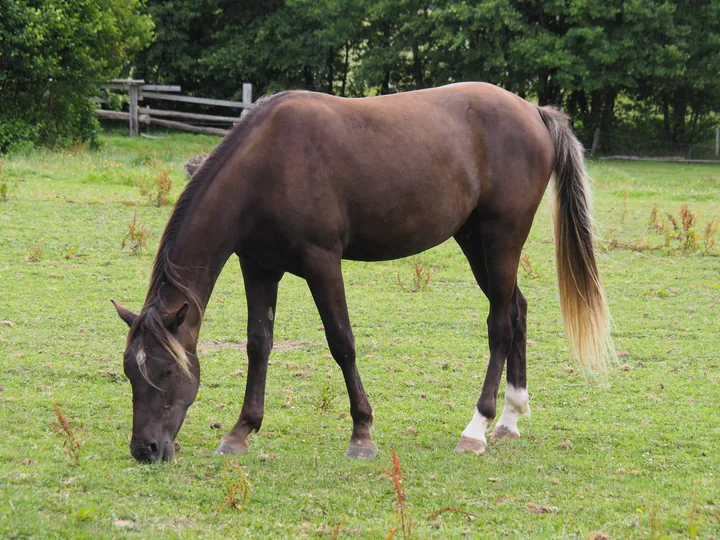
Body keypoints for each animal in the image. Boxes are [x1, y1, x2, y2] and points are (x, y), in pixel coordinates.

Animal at [112, 82, 612, 462]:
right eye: (130, 373)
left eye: (166, 373)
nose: (145, 449)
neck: (267, 164)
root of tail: (533, 110)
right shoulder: (258, 267)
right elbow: (258, 344)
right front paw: (241, 431)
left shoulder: (321, 263)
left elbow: (342, 343)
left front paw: (362, 434)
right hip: (474, 241)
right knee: (516, 310)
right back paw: (510, 417)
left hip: (501, 237)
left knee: (499, 326)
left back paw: (477, 427)